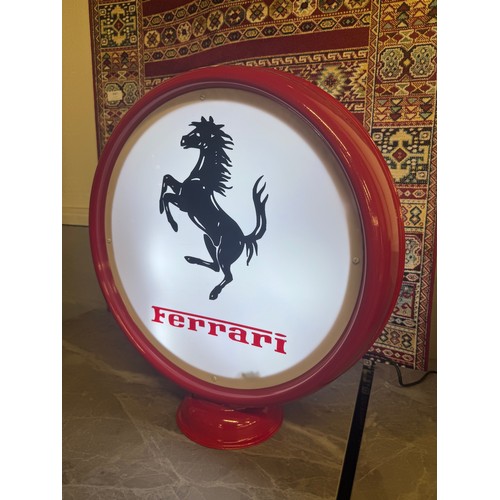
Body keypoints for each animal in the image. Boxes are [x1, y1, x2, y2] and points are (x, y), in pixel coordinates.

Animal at [159, 116, 268, 300]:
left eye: (199, 133)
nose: (183, 140)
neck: (202, 178)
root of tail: (244, 238)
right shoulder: (180, 192)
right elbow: (166, 178)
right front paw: (162, 211)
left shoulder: (184, 204)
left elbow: (167, 195)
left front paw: (174, 225)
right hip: (208, 240)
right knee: (216, 267)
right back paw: (191, 259)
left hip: (223, 253)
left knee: (228, 276)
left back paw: (214, 293)